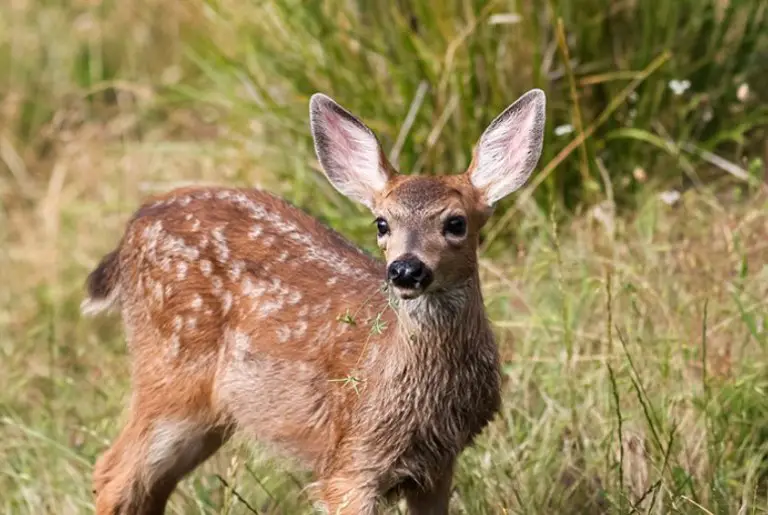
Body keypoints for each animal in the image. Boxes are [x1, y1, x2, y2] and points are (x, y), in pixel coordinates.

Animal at [82, 88, 546, 514]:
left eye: (456, 223)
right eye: (382, 223)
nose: (406, 270)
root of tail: (134, 227)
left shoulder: (438, 464)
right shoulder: (352, 459)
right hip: (171, 374)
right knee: (113, 473)